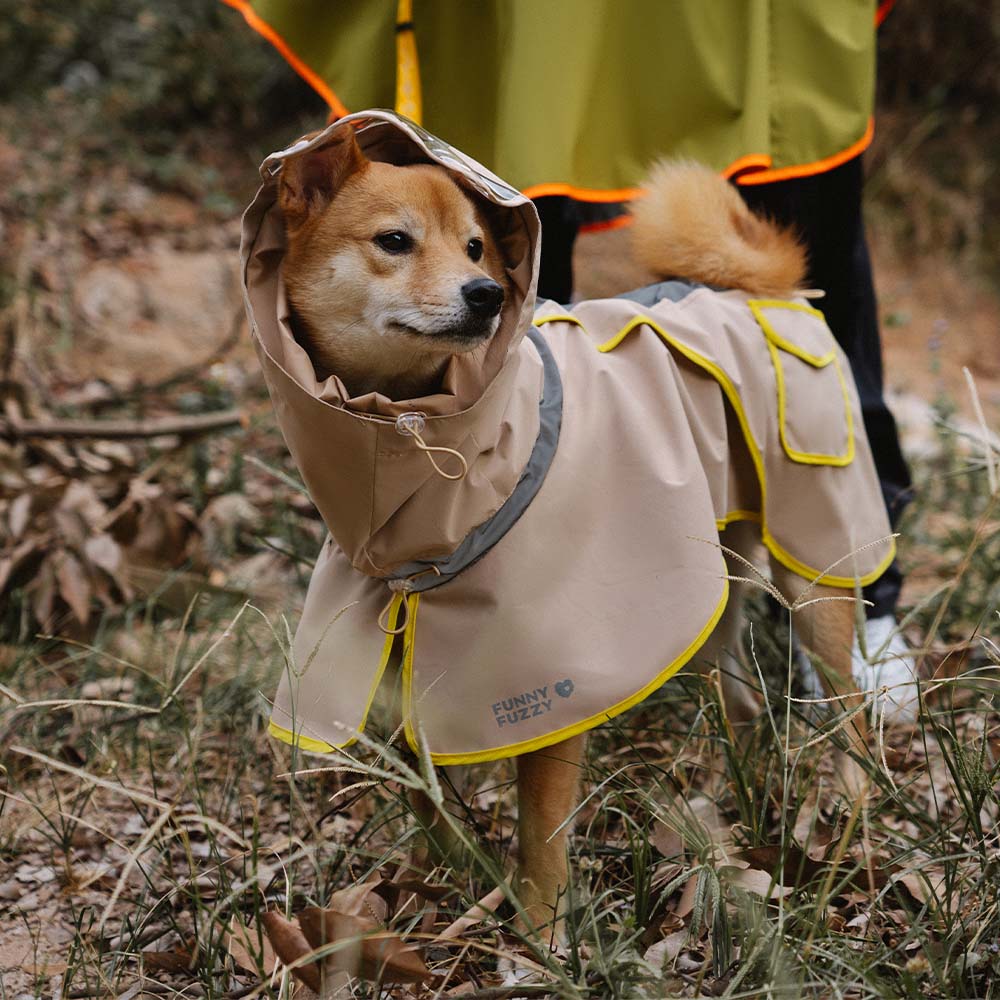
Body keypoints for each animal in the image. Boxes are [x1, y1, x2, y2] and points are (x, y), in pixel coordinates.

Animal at [240, 113, 892, 940]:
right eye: (395, 240)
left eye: (476, 248)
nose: (487, 294)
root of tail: (762, 288)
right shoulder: (393, 647)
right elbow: (422, 794)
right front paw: (436, 877)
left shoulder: (551, 678)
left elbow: (540, 828)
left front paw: (542, 932)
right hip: (706, 588)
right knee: (739, 702)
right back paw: (719, 804)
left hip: (817, 573)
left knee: (850, 716)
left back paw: (845, 818)